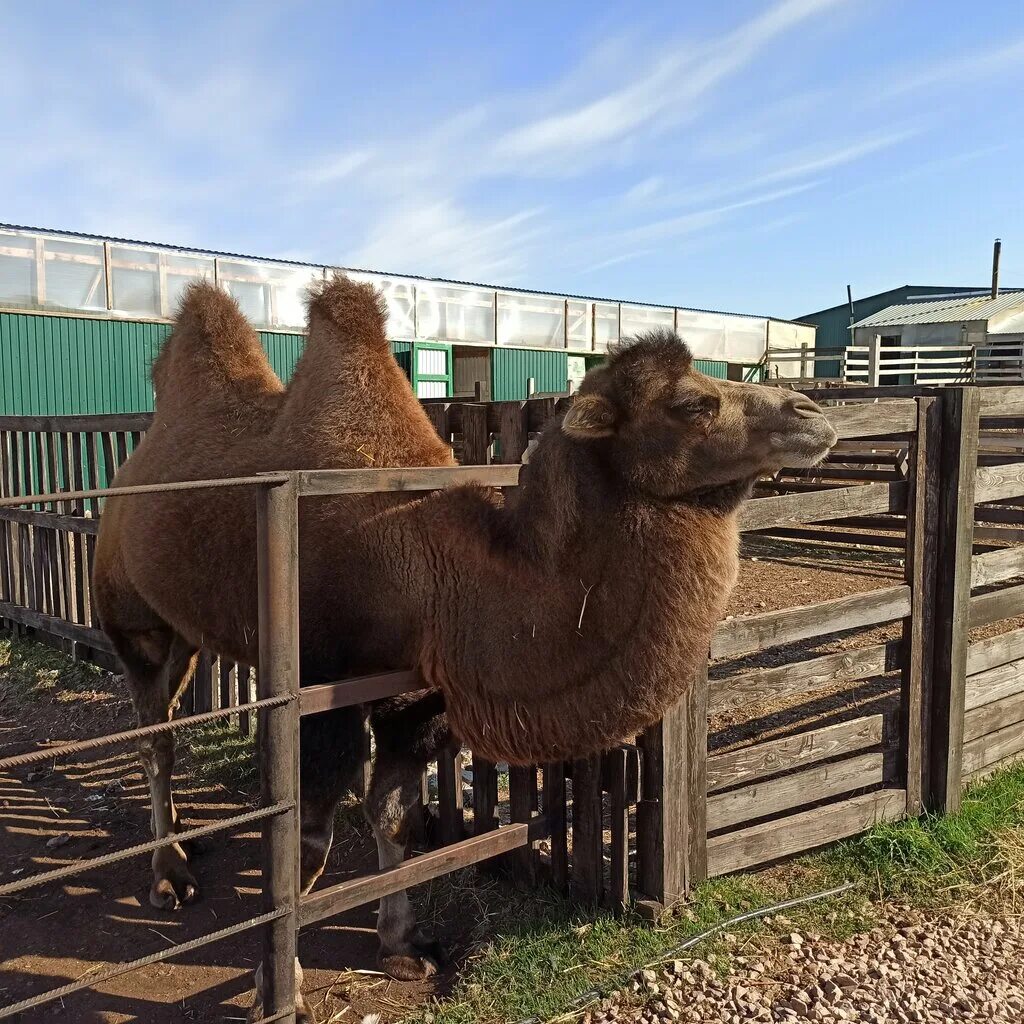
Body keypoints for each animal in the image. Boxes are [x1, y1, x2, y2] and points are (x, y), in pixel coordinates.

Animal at [92, 274, 835, 1015]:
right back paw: (169, 876)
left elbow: (394, 815)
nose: (813, 413)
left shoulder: (416, 694)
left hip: (190, 633)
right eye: (691, 402)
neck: (432, 571)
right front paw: (279, 993)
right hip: (133, 618)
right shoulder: (323, 688)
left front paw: (400, 946)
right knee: (154, 737)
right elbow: (308, 842)